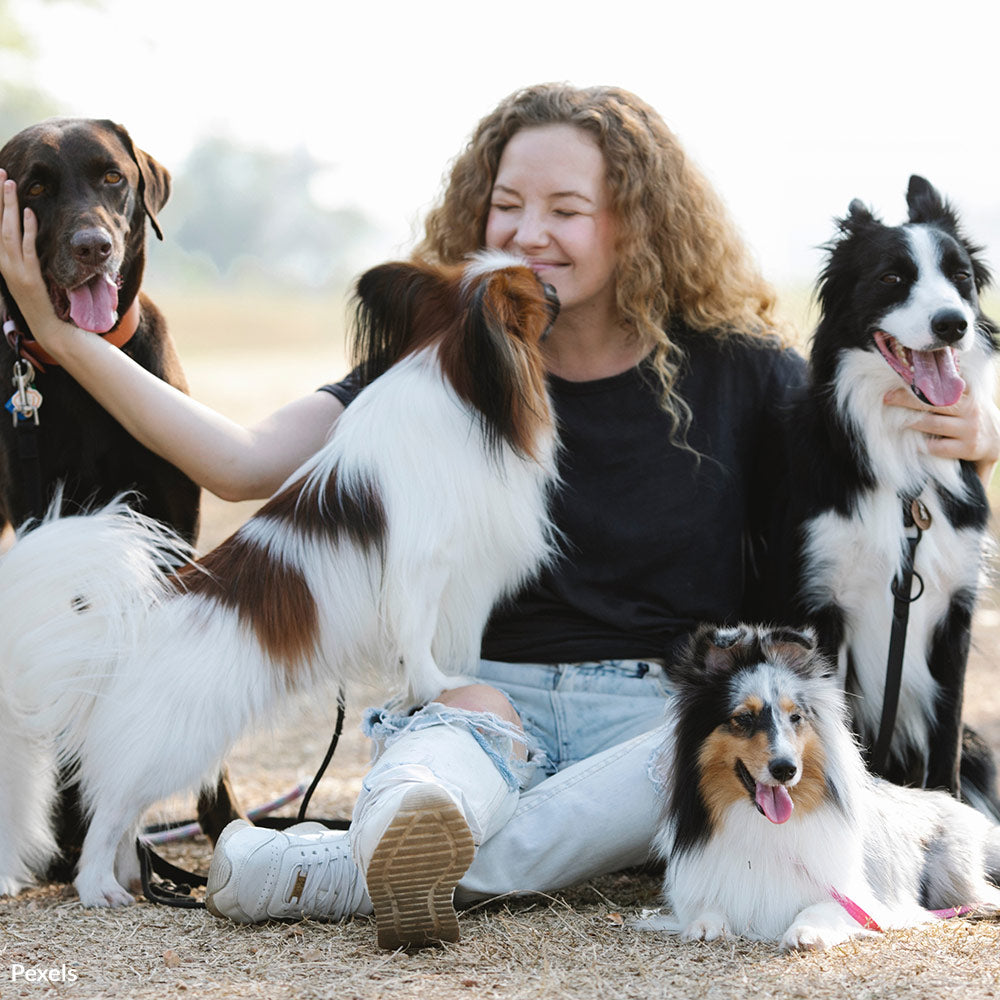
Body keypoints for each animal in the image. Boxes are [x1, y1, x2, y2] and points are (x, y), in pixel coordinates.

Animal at [0, 248, 564, 908]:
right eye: (536, 289)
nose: (559, 289)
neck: (458, 373)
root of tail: (121, 631)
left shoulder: (460, 583)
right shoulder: (422, 572)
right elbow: (421, 643)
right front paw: (441, 688)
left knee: (124, 819)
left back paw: (136, 881)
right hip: (177, 746)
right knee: (108, 815)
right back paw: (99, 889)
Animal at [640, 628, 1000, 948]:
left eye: (796, 717)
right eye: (743, 718)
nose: (785, 769)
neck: (763, 826)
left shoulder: (859, 899)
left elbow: (818, 909)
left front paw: (806, 932)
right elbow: (706, 908)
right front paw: (705, 926)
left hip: (952, 874)